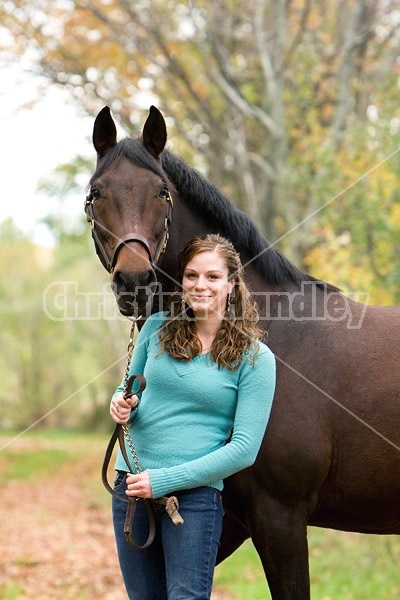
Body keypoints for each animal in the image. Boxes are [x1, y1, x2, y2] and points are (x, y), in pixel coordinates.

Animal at [86, 105, 400, 596]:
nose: (135, 282)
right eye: (96, 193)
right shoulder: (230, 519)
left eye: (162, 192)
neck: (269, 331)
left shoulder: (280, 516)